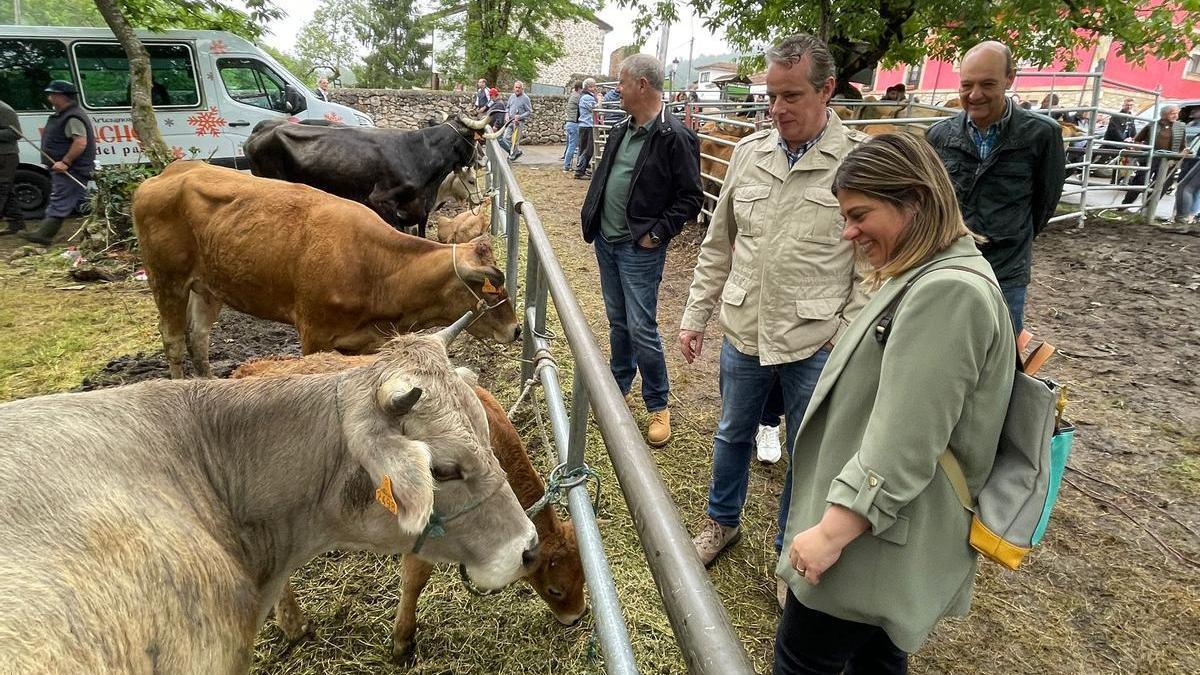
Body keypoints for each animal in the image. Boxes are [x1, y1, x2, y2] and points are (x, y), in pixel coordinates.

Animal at [133, 159, 518, 374]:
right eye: (490, 288)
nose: (515, 330)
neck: (377, 270)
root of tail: (168, 173)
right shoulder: (313, 336)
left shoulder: (368, 341)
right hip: (166, 280)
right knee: (173, 341)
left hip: (209, 287)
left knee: (198, 340)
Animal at [230, 355, 585, 658]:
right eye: (555, 589)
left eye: (584, 579)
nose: (577, 617)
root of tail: (249, 368)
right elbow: (416, 578)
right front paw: (402, 639)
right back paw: (293, 624)